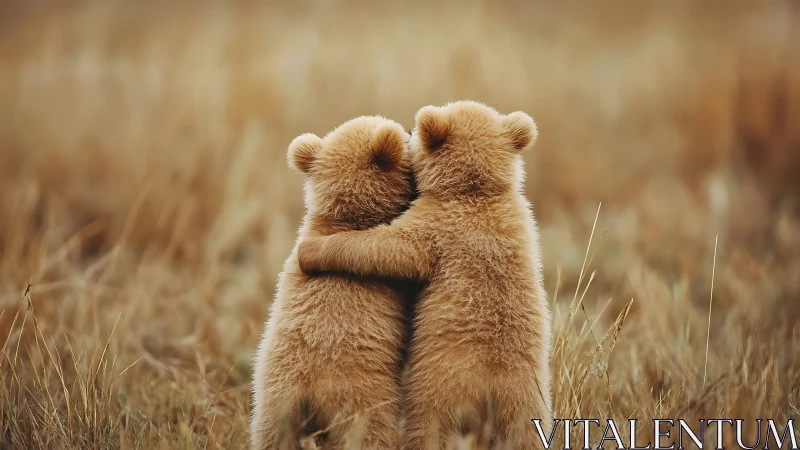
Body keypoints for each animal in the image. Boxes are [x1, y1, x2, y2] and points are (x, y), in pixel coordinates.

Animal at [250, 116, 417, 450]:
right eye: (403, 135)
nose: (410, 130)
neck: (349, 219)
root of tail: (308, 393)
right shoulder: (391, 280)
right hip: (361, 398)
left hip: (273, 401)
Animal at [297, 100, 553, 449]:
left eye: (416, 132)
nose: (408, 129)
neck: (474, 191)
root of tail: (491, 392)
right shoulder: (519, 223)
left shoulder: (438, 224)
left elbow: (388, 247)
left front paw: (312, 250)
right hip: (529, 400)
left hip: (437, 388)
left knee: (427, 425)